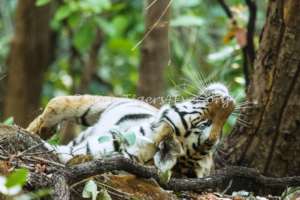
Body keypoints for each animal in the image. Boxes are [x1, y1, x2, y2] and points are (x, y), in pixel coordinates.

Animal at [27, 82, 236, 177]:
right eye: (205, 125)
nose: (230, 102)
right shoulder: (114, 103)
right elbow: (59, 104)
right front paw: (38, 129)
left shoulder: (71, 153)